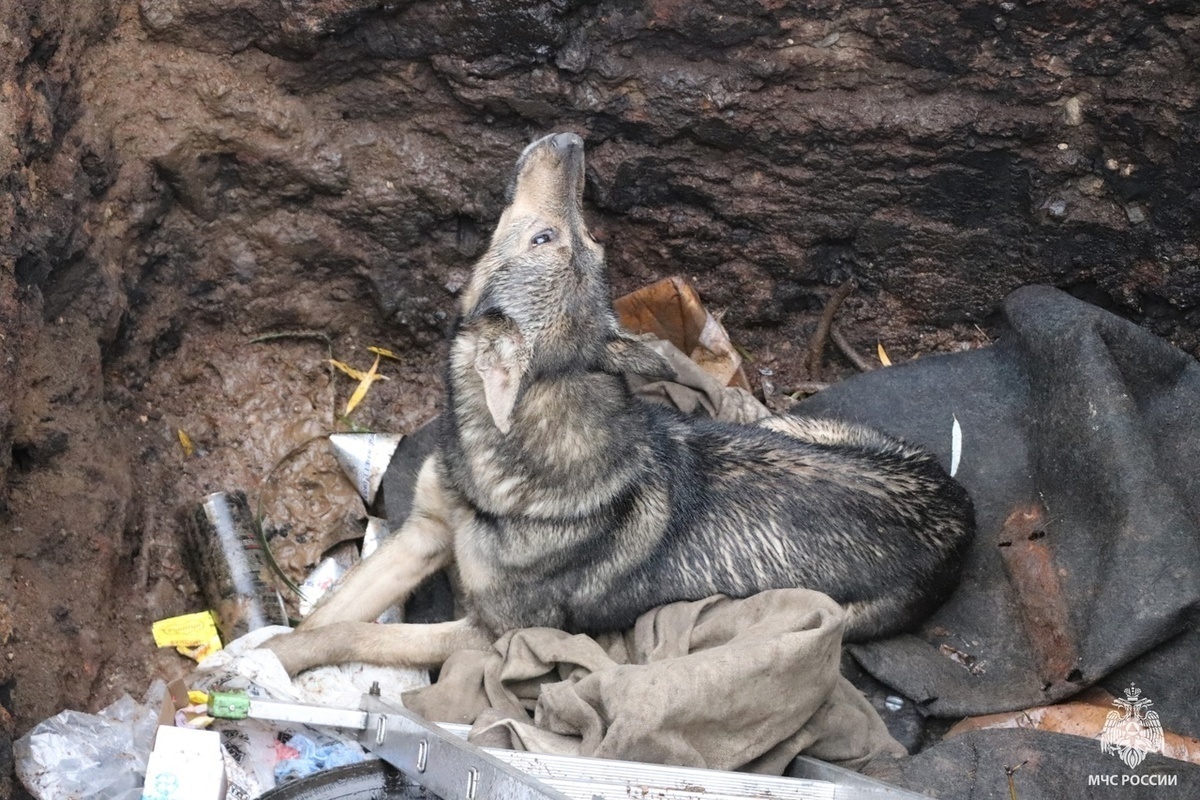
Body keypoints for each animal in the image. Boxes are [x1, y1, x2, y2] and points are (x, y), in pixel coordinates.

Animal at [265, 133, 974, 676]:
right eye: (554, 238)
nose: (572, 140)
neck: (496, 460)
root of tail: (960, 511)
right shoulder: (421, 533)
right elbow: (327, 613)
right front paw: (262, 652)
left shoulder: (493, 637)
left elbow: (355, 632)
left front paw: (269, 664)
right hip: (787, 422)